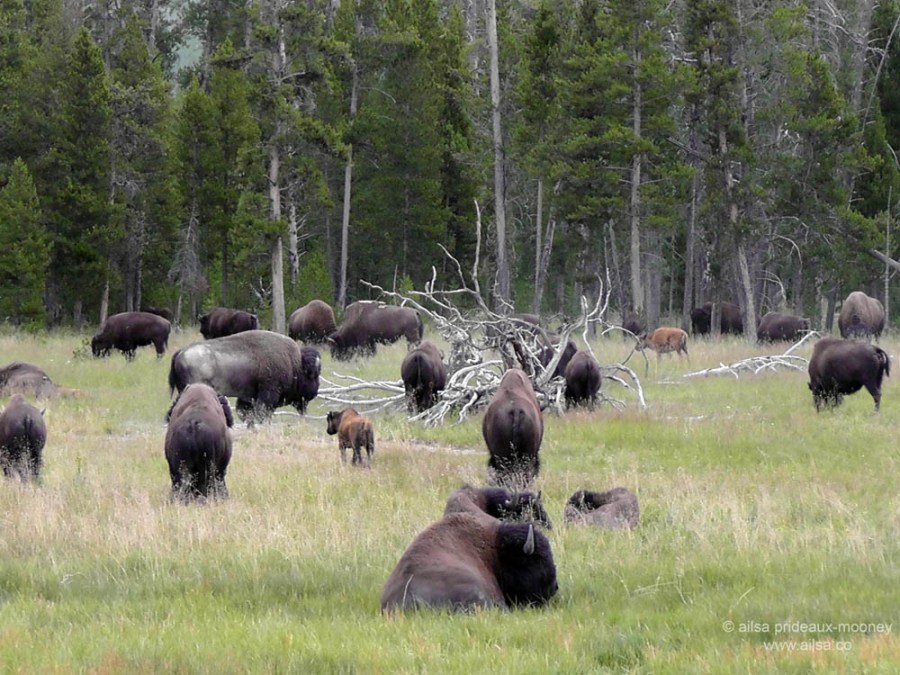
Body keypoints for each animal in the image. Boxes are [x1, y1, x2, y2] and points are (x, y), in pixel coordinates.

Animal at [169, 330, 321, 423]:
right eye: (313, 375)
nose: (314, 392)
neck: (295, 363)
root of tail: (181, 352)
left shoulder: (248, 397)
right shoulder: (268, 393)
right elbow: (263, 412)